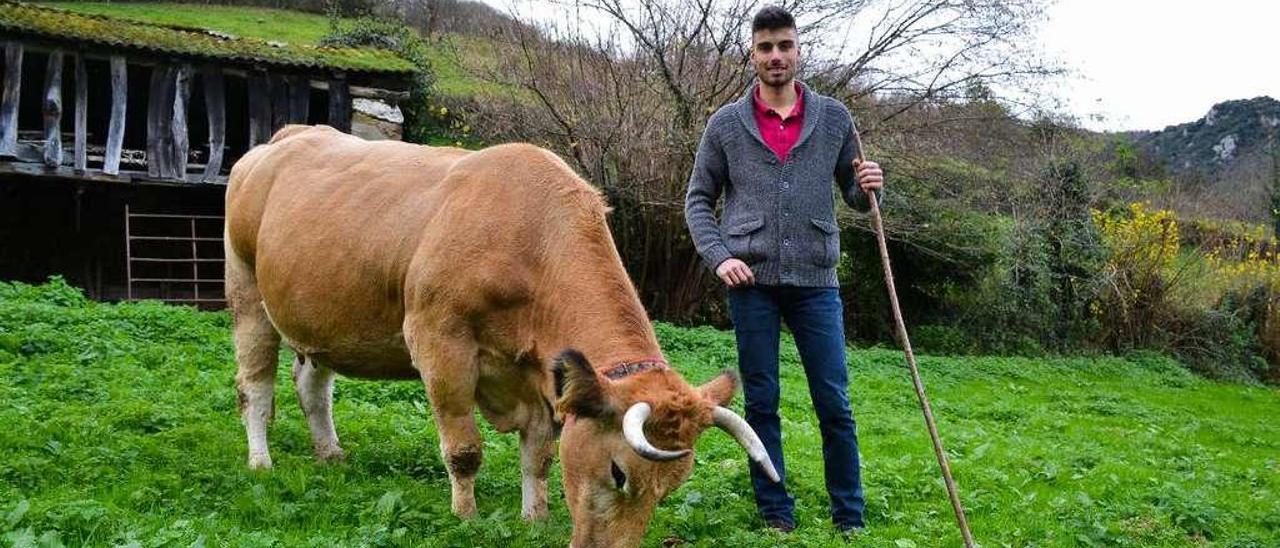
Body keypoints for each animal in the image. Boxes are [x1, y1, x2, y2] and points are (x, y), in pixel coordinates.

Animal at [224, 126, 773, 545]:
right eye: (620, 473)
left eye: (671, 489)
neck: (531, 243)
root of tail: (283, 139)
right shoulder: (439, 343)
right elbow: (464, 448)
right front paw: (466, 516)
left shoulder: (542, 374)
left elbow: (539, 454)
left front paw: (535, 517)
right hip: (246, 292)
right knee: (255, 387)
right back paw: (259, 460)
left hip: (319, 321)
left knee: (312, 387)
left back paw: (330, 454)